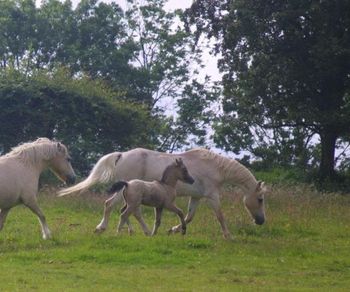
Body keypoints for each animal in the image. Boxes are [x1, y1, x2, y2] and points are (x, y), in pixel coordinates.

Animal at [58, 147, 266, 238]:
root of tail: (121, 155)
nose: (261, 221)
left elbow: (189, 216)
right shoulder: (212, 197)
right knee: (111, 205)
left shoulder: (196, 197)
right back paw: (103, 228)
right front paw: (228, 236)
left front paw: (173, 229)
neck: (214, 167)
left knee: (129, 211)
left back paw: (134, 231)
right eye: (260, 199)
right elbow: (220, 216)